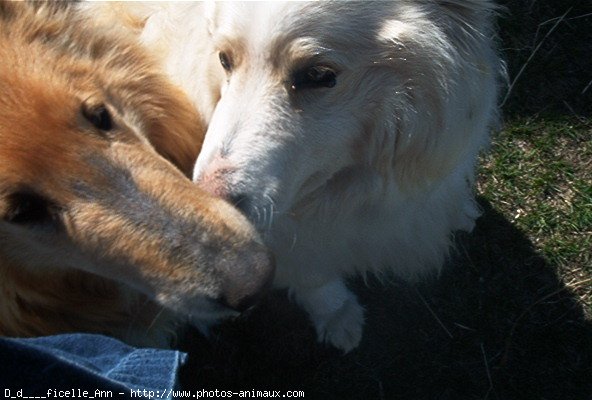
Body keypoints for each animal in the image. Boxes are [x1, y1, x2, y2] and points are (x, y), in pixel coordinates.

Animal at [121, 0, 504, 352]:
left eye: (319, 75)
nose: (209, 208)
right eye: (225, 60)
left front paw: (460, 211)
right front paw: (338, 315)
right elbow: (315, 279)